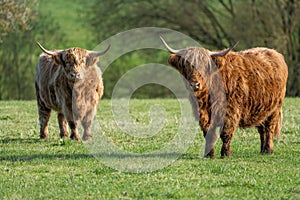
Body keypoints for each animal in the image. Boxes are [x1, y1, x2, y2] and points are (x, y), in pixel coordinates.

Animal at [159, 36, 288, 157]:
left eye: (205, 66)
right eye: (186, 65)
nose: (194, 84)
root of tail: (274, 52)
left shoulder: (230, 111)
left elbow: (226, 133)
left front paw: (226, 153)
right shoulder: (203, 114)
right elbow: (208, 133)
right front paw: (209, 153)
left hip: (275, 108)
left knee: (269, 128)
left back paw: (268, 150)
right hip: (261, 109)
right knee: (262, 130)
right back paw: (262, 150)